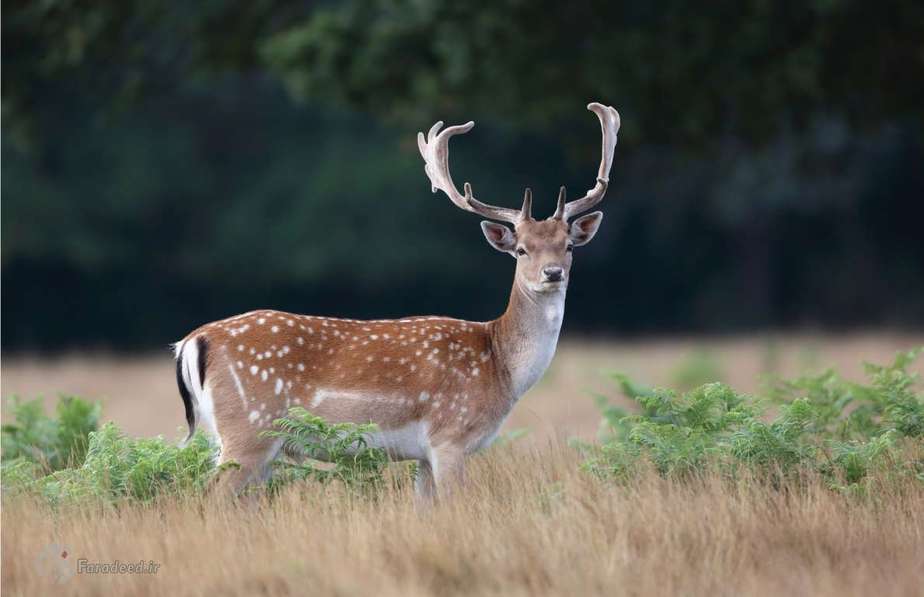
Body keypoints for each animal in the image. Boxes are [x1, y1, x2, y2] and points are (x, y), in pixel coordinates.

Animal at [173, 101, 620, 498]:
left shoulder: (422, 455)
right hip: (248, 429)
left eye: (568, 246)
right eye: (522, 249)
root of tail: (192, 341)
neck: (500, 366)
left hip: (248, 442)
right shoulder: (449, 436)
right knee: (208, 497)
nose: (553, 273)